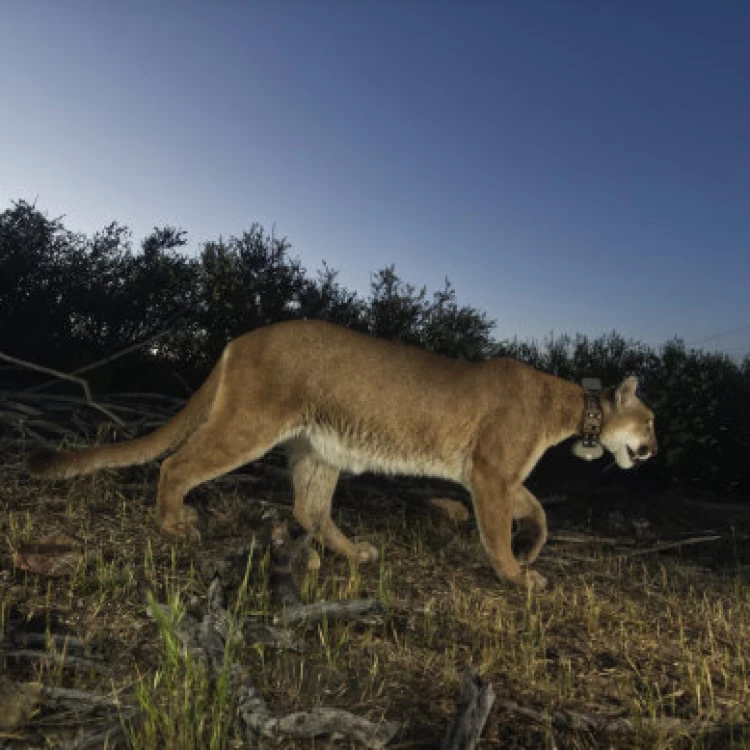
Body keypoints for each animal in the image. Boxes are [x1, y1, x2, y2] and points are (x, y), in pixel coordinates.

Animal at [27, 320, 656, 592]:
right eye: (650, 420)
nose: (653, 447)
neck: (572, 405)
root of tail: (238, 339)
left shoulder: (494, 476)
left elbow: (538, 508)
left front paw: (533, 548)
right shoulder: (490, 473)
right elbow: (499, 531)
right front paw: (517, 574)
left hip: (320, 447)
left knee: (309, 508)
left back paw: (355, 554)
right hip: (250, 424)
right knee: (176, 465)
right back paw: (175, 524)